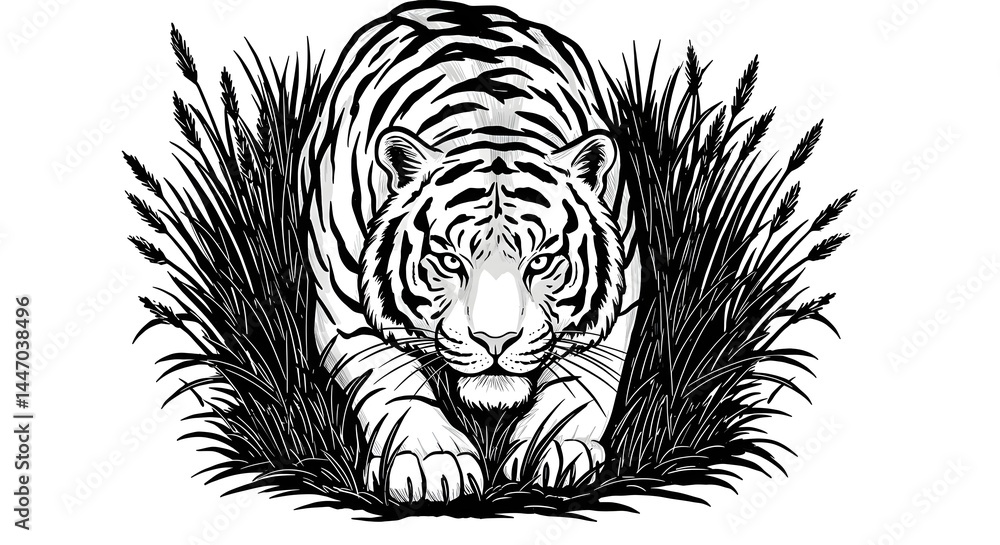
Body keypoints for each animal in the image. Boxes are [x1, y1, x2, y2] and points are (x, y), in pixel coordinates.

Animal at [302, 1, 640, 503]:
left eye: (541, 261)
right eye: (449, 261)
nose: (495, 341)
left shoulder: (614, 315)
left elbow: (580, 388)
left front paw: (553, 449)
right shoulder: (346, 318)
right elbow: (394, 386)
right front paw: (431, 462)